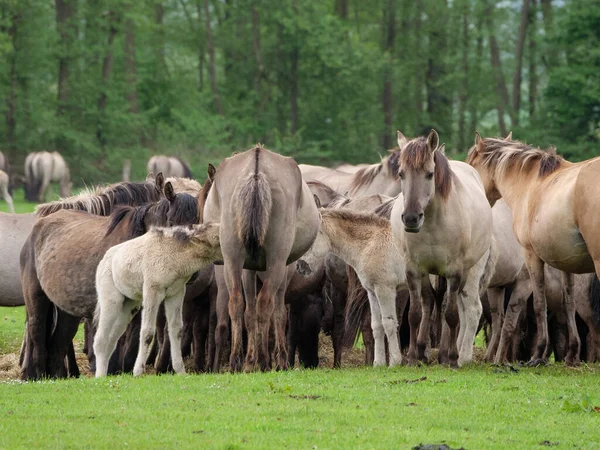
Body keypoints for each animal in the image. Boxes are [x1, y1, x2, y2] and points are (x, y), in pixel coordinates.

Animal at [19, 179, 199, 380]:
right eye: (171, 222)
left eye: (197, 223)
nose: (192, 273)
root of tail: (38, 227)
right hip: (37, 299)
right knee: (37, 333)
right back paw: (37, 374)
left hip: (67, 311)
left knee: (58, 345)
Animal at [94, 224, 223, 376]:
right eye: (218, 239)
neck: (175, 255)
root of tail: (103, 261)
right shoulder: (152, 291)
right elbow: (147, 332)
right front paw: (138, 371)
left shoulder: (176, 293)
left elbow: (176, 330)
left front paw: (180, 371)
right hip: (112, 300)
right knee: (100, 339)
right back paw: (100, 376)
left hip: (128, 305)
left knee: (112, 340)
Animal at [204, 146, 322, 370]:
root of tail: (256, 171)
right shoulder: (284, 268)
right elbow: (279, 313)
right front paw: (275, 357)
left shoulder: (247, 268)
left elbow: (249, 313)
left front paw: (253, 358)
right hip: (277, 261)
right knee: (266, 303)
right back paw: (268, 361)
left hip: (232, 258)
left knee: (237, 303)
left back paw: (239, 361)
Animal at [392, 128, 494, 368]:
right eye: (401, 174)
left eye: (430, 174)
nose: (411, 218)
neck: (433, 223)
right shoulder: (413, 270)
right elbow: (415, 314)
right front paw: (412, 358)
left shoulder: (455, 272)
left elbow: (451, 314)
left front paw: (453, 358)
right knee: (430, 301)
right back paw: (423, 351)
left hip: (465, 272)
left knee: (452, 305)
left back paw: (446, 354)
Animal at [464, 135, 596, 364]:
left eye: (472, 167)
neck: (531, 184)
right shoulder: (567, 262)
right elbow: (568, 302)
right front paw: (572, 353)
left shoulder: (532, 256)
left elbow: (539, 303)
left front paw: (538, 354)